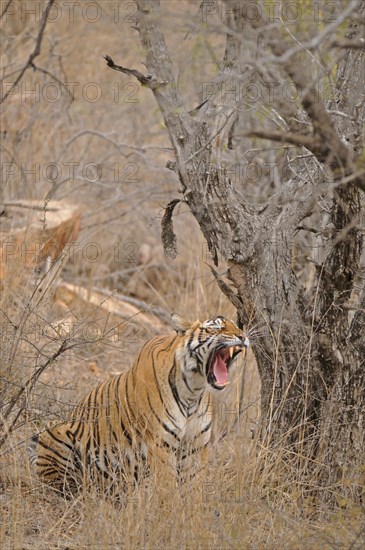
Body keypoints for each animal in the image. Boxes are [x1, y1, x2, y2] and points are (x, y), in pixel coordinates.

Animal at [28, 312, 247, 498]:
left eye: (236, 326)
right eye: (215, 328)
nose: (243, 336)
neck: (194, 388)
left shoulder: (196, 445)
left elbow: (195, 489)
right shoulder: (161, 444)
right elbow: (168, 489)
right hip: (56, 434)